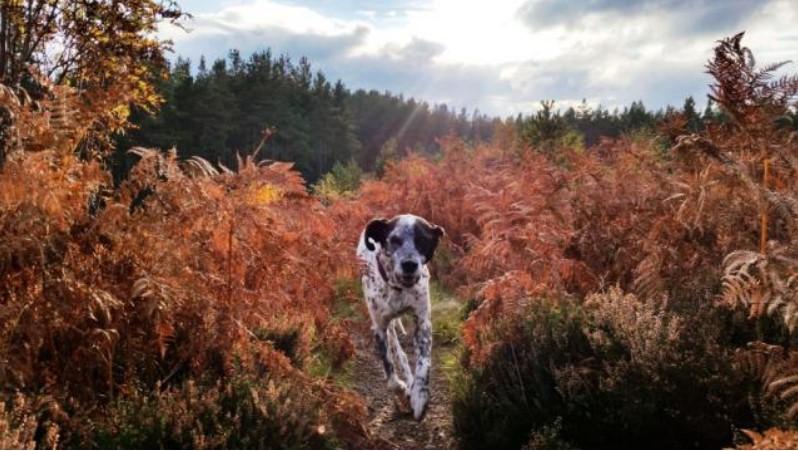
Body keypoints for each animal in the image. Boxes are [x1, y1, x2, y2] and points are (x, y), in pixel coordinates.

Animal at [358, 215, 446, 420]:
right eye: (394, 239)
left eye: (422, 239)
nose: (409, 264)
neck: (399, 289)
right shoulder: (379, 328)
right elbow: (390, 378)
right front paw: (403, 394)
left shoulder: (423, 322)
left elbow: (424, 363)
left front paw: (419, 395)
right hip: (387, 328)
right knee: (399, 354)